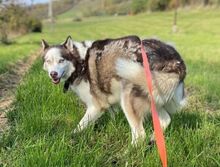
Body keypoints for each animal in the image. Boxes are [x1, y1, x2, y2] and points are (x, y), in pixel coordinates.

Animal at [40, 35, 186, 145]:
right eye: (48, 61)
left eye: (61, 60)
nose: (53, 74)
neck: (80, 63)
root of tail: (176, 62)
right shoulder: (108, 104)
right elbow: (112, 117)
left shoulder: (96, 106)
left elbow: (78, 127)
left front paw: (69, 139)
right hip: (154, 101)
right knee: (166, 120)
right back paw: (153, 140)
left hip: (128, 101)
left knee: (139, 135)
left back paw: (128, 153)